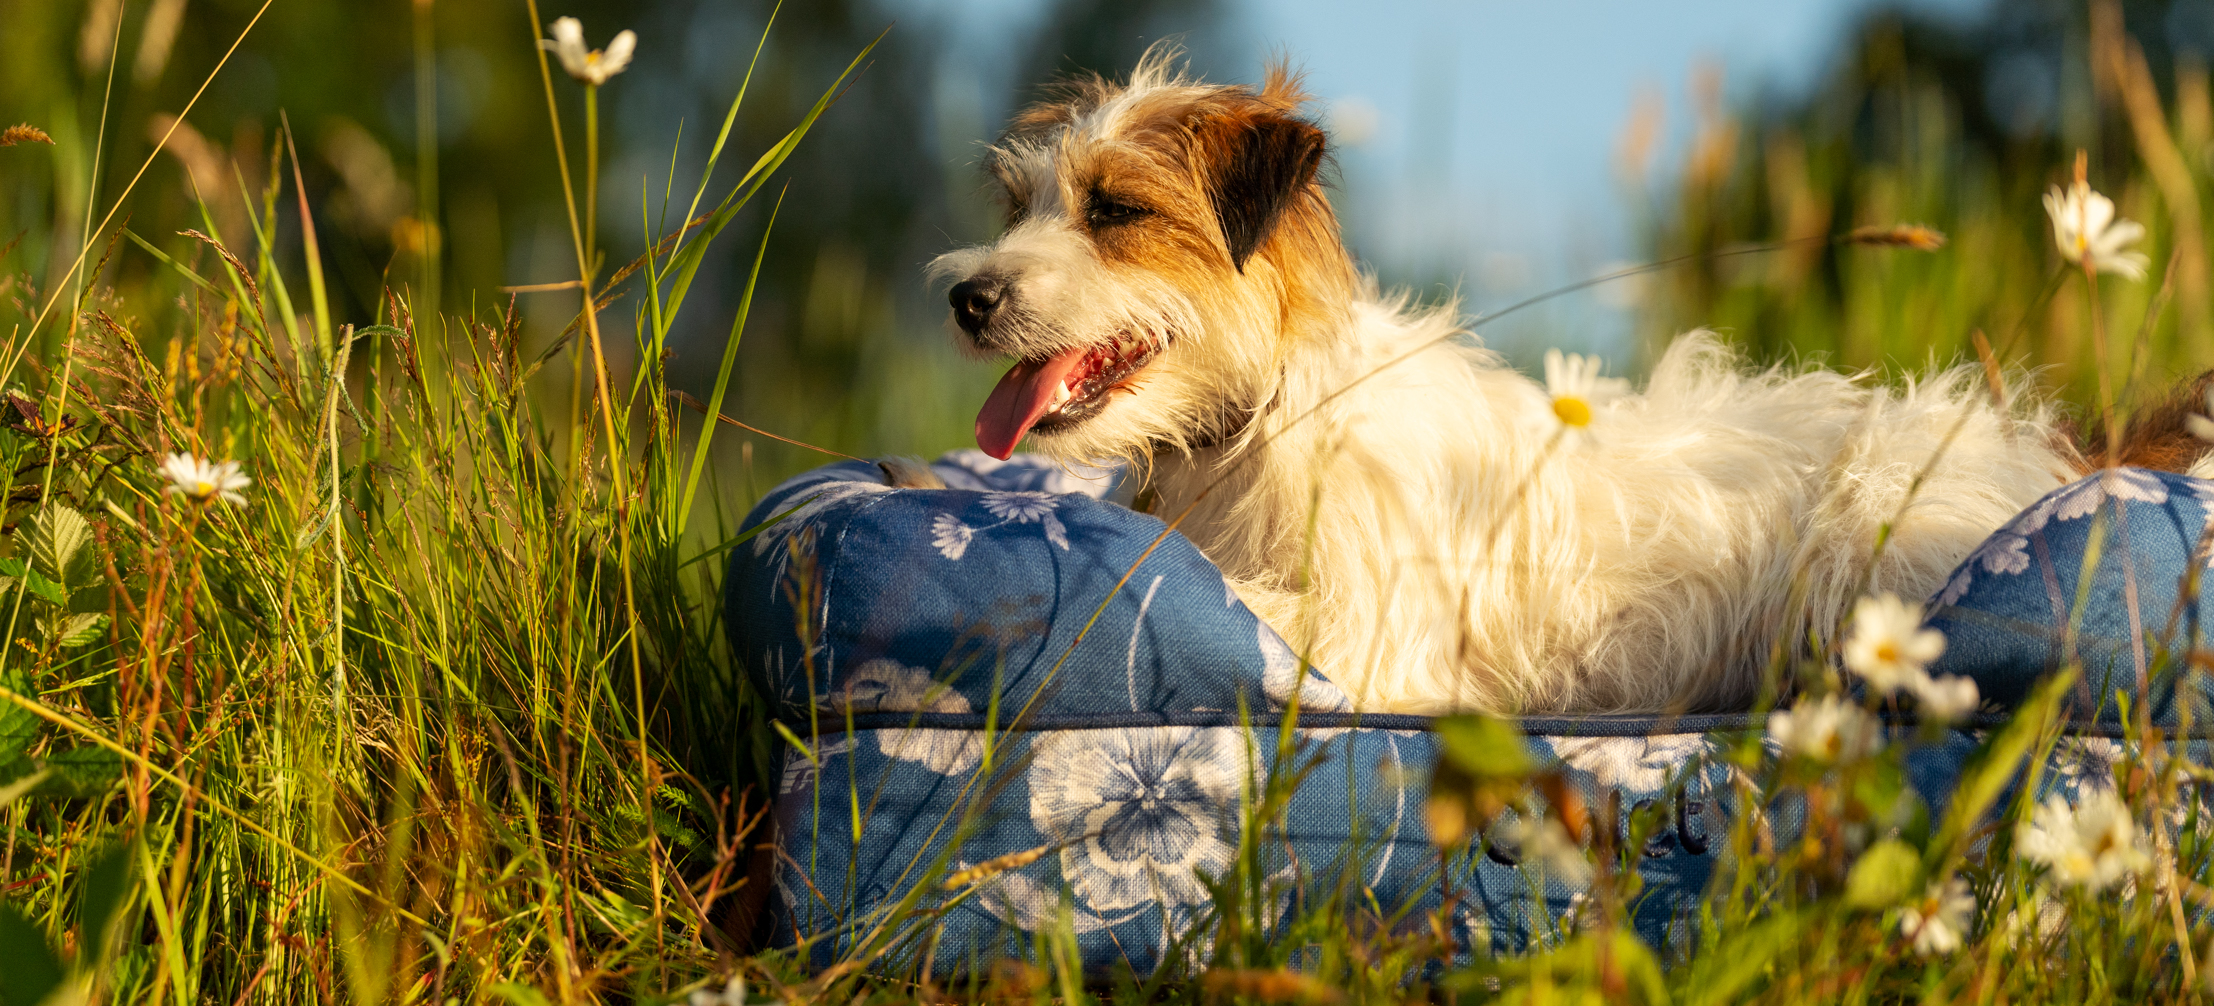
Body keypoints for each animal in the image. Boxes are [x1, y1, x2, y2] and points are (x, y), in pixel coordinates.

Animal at [925, 49, 2205, 713]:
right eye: (1020, 204)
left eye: (1115, 212)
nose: (966, 296)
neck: (1266, 421)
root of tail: (2069, 448)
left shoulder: (1377, 639)